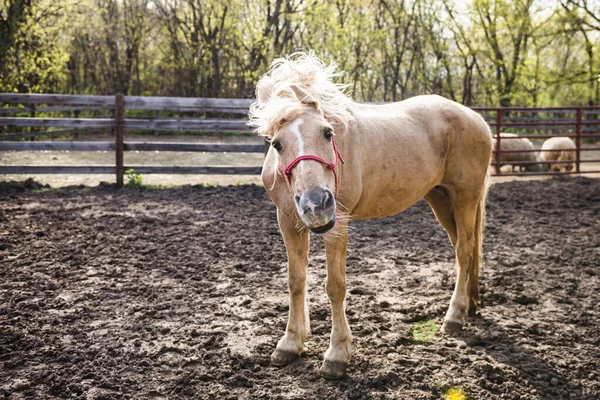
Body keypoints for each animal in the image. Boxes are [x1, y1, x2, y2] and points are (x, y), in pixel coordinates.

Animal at [248, 53, 492, 378]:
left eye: (327, 133)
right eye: (277, 143)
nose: (317, 205)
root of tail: (477, 119)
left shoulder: (337, 225)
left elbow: (335, 286)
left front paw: (337, 354)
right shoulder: (287, 221)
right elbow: (296, 281)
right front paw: (290, 343)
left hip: (465, 197)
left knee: (465, 252)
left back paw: (454, 317)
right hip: (441, 200)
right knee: (466, 250)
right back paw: (471, 305)